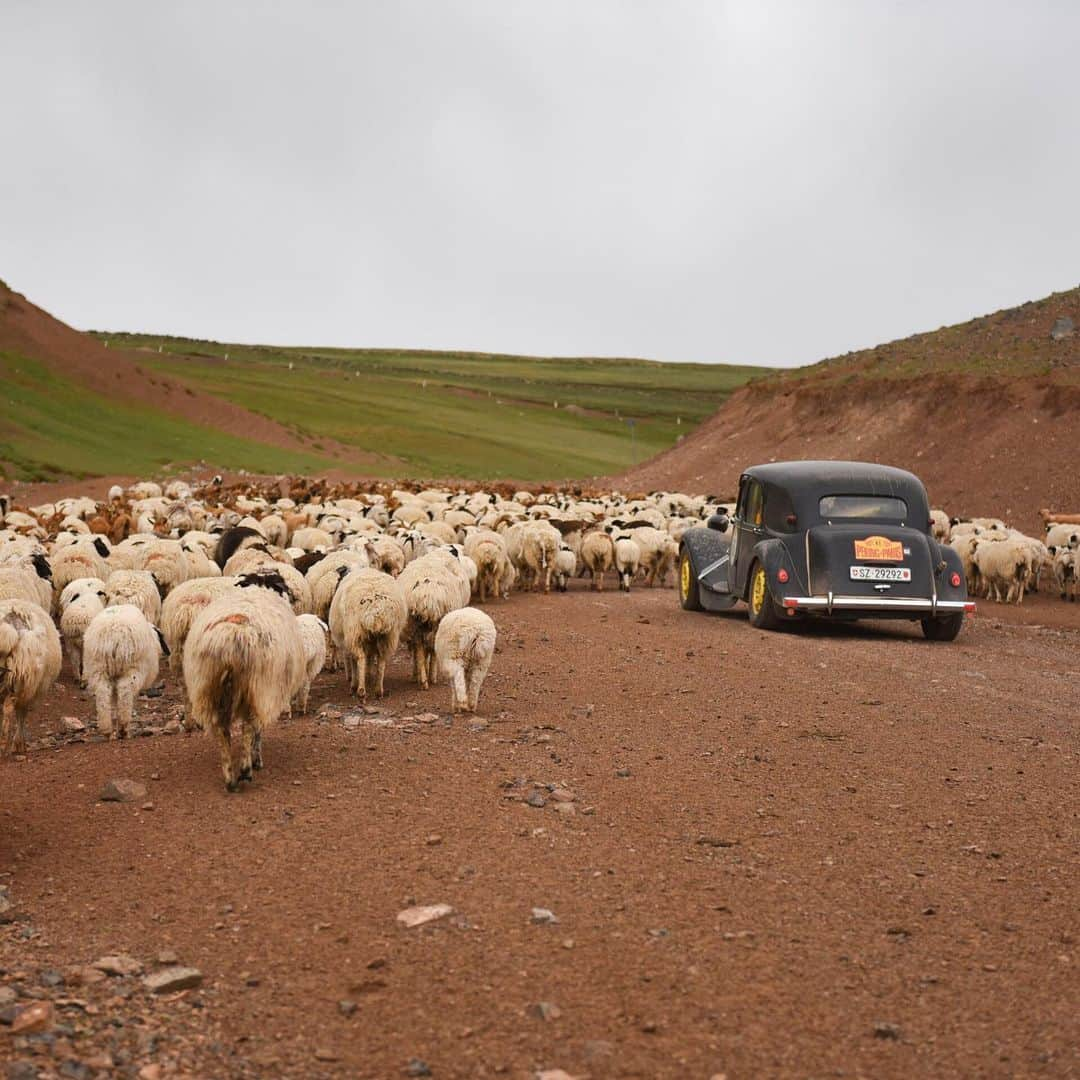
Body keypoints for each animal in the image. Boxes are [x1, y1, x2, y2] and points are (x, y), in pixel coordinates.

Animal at [82, 604, 166, 738]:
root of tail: (112, 633)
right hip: (132, 669)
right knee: (125, 692)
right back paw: (123, 729)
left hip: (98, 669)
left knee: (103, 696)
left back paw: (107, 730)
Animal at [183, 587, 306, 790]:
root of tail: (231, 638)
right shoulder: (265, 694)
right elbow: (257, 731)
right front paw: (257, 759)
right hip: (256, 687)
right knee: (248, 726)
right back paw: (246, 769)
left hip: (209, 689)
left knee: (222, 730)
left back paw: (229, 779)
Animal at [326, 565, 406, 699]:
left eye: (338, 578)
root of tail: (376, 609)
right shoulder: (371, 641)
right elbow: (370, 659)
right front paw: (368, 677)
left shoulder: (350, 640)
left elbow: (354, 661)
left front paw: (355, 681)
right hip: (388, 636)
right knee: (381, 661)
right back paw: (378, 690)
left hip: (355, 633)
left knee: (360, 658)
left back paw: (360, 689)